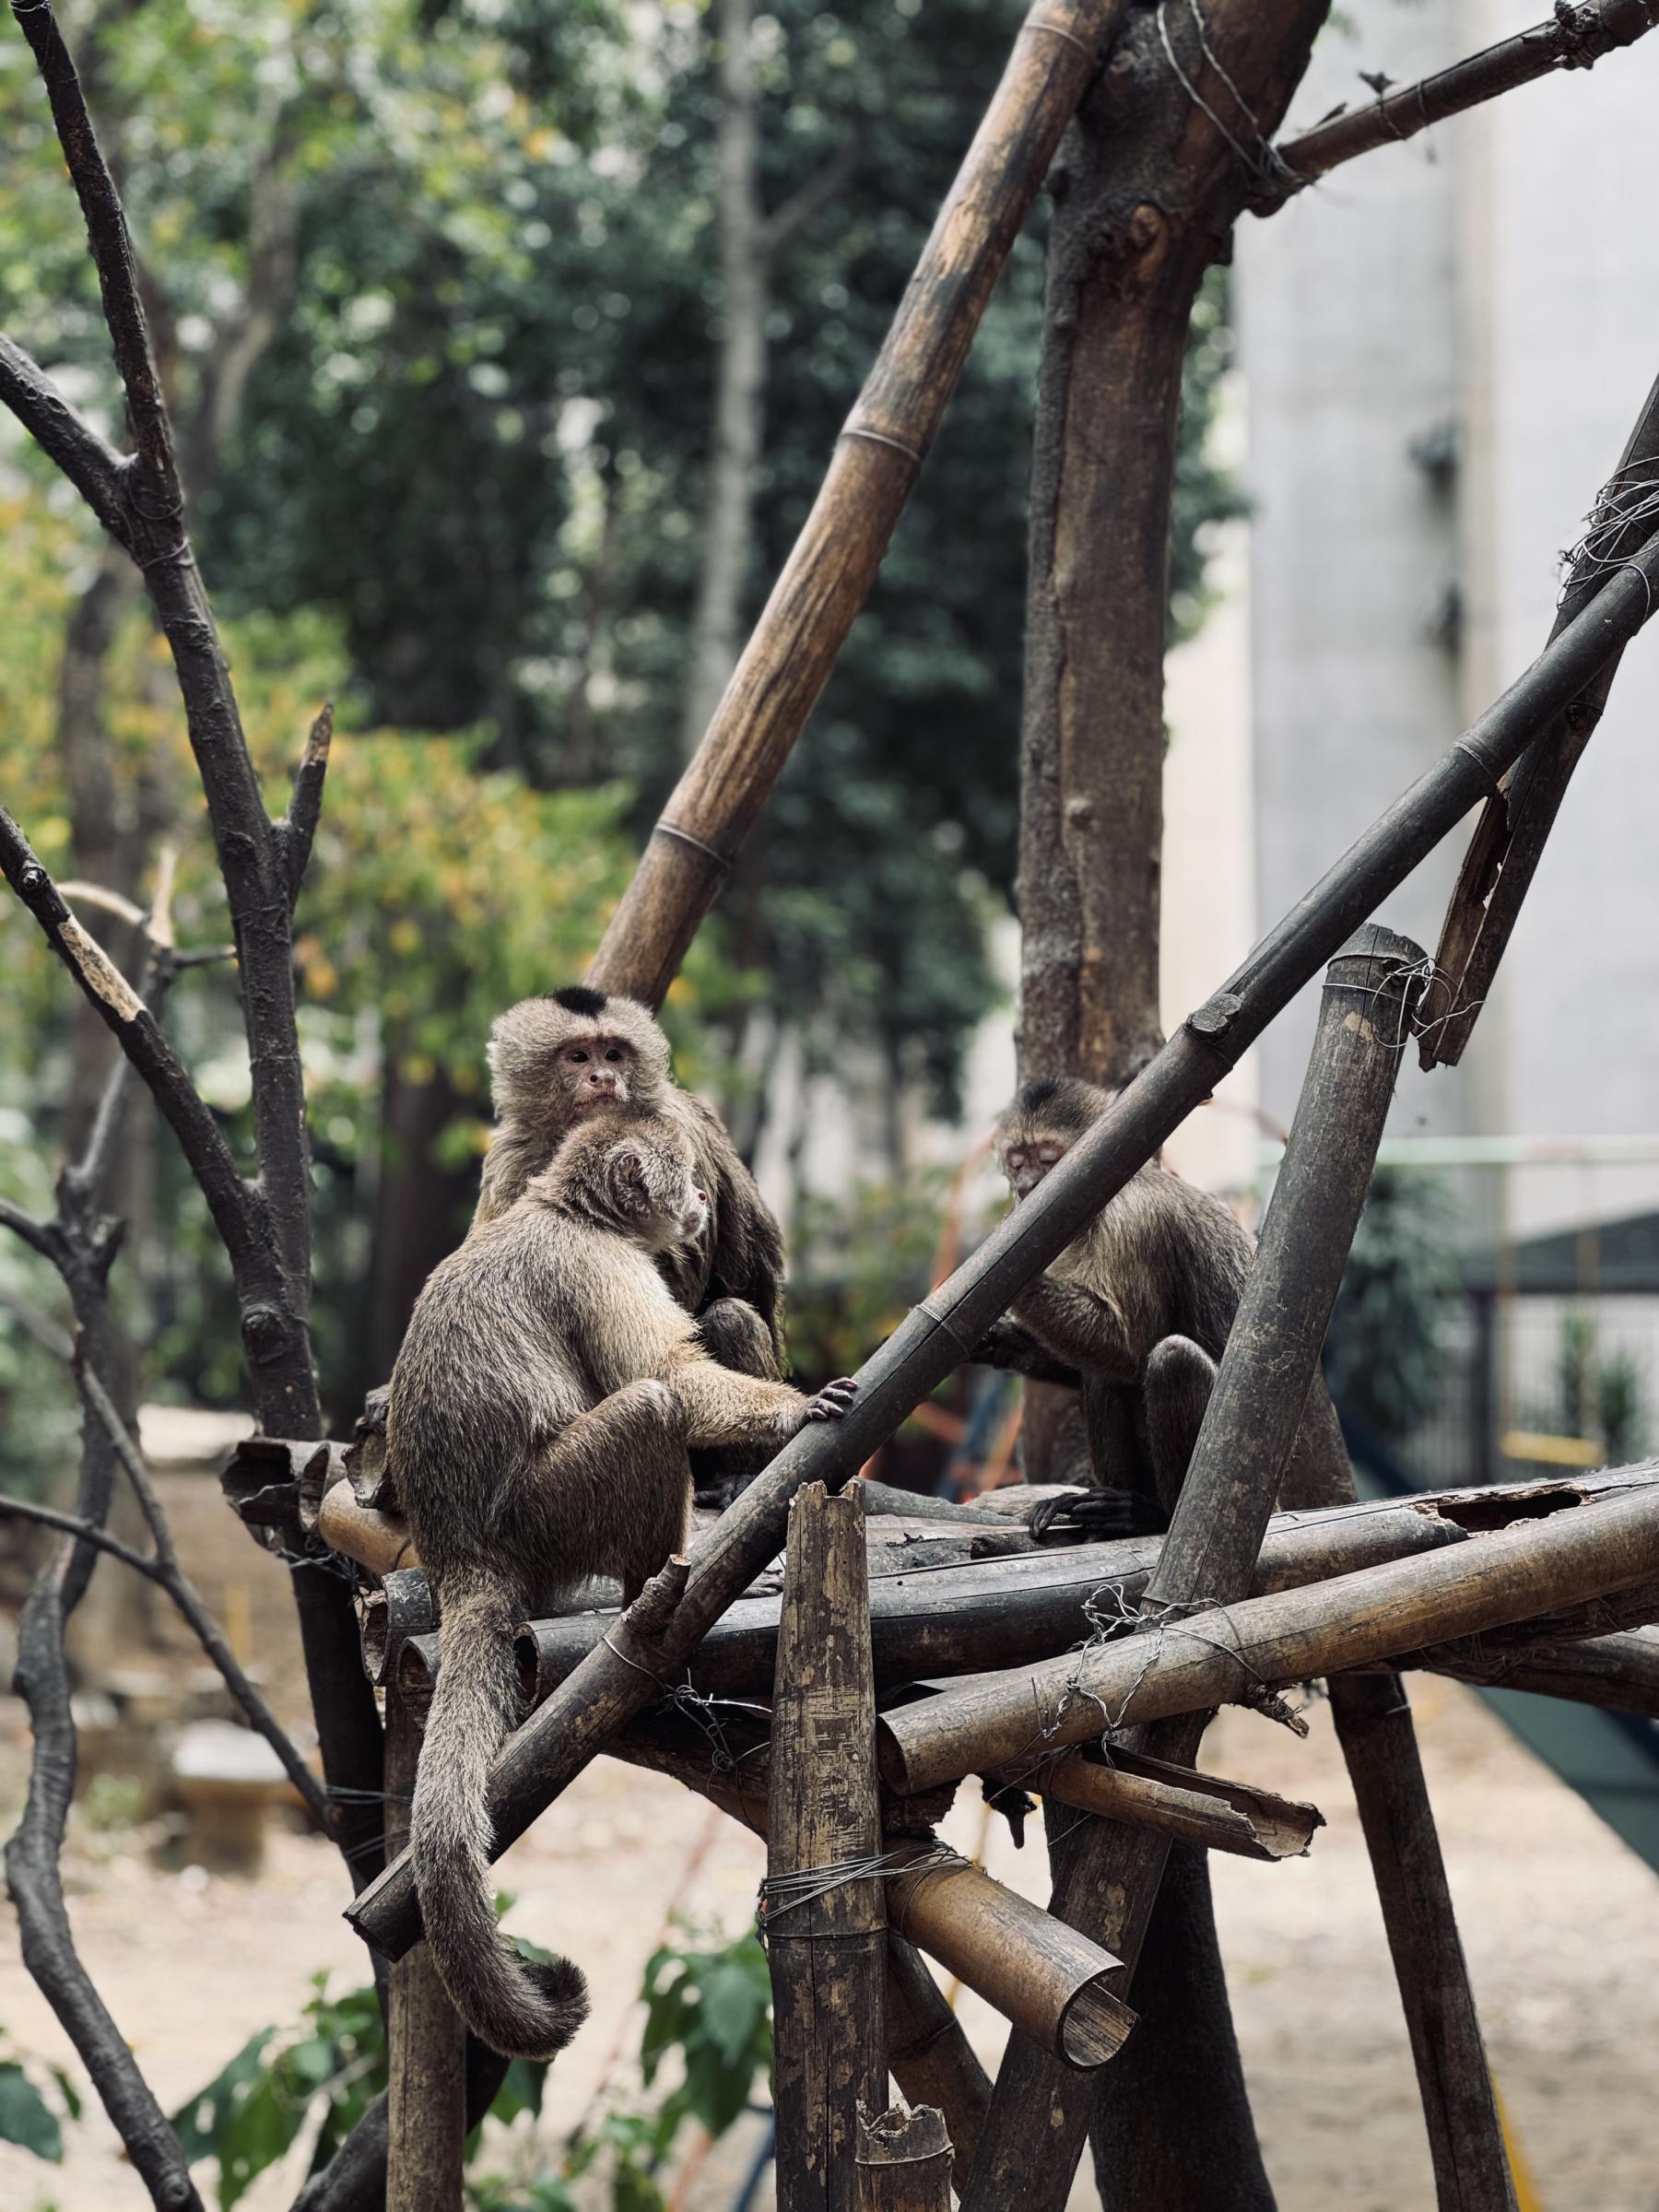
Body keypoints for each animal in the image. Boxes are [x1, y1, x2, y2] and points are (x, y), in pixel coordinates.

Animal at [388, 1112, 855, 2062]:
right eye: (683, 1175)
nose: (704, 1195)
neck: (568, 1210)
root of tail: (462, 1555)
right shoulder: (600, 1262)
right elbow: (669, 1377)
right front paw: (795, 1412)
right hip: (548, 1518)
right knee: (648, 1408)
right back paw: (654, 1599)